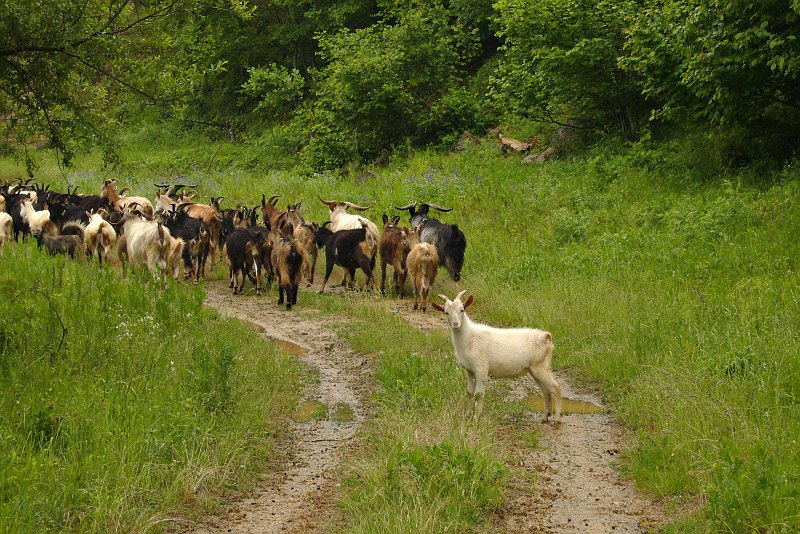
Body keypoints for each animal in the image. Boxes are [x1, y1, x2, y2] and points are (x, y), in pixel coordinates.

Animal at [432, 292, 564, 426]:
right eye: (446, 312)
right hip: (533, 369)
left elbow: (479, 394)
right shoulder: (469, 370)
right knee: (545, 391)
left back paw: (557, 420)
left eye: (462, 310)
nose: (455, 324)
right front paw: (467, 416)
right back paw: (545, 418)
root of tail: (546, 337)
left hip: (541, 366)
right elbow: (469, 392)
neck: (469, 338)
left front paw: (476, 418)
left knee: (556, 388)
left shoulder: (481, 368)